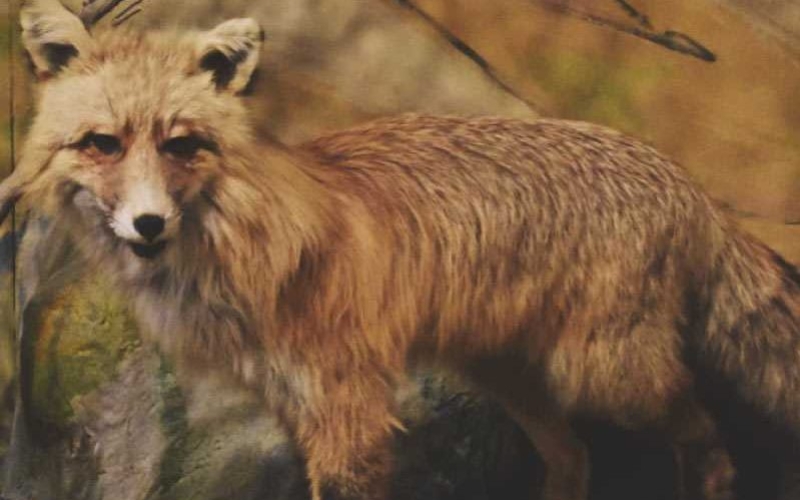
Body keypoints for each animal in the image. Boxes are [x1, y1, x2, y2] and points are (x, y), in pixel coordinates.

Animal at [5, 1, 799, 499]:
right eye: (102, 144)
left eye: (181, 145)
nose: (147, 225)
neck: (244, 248)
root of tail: (686, 181)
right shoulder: (293, 404)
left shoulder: (348, 406)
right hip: (512, 374)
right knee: (575, 460)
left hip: (604, 375)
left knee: (708, 436)